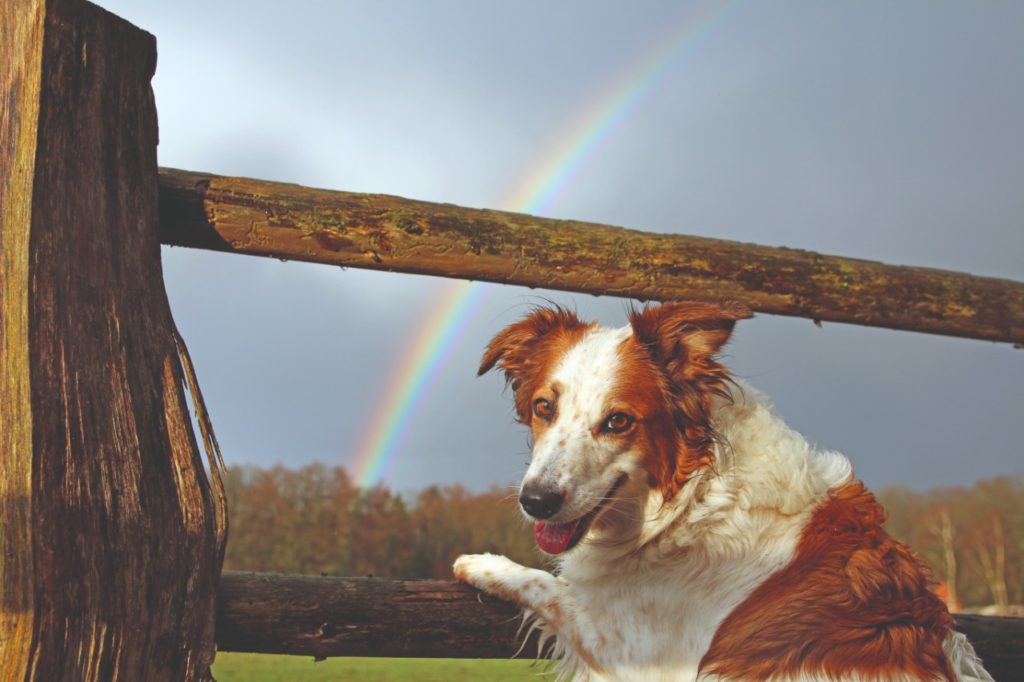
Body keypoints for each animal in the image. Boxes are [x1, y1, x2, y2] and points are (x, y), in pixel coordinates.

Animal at [452, 303, 987, 679]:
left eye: (618, 421)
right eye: (544, 407)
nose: (535, 501)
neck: (695, 502)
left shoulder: (632, 651)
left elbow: (547, 586)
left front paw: (482, 563)